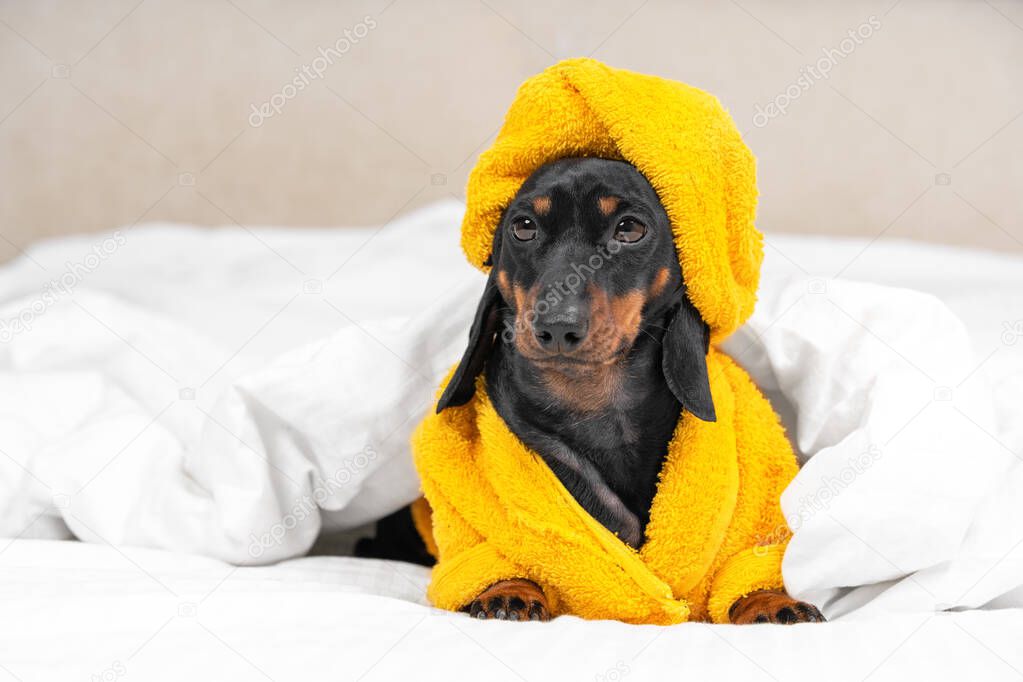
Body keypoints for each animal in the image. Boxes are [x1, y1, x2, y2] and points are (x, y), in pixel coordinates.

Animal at [360, 157, 822, 625]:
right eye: (523, 226)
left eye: (630, 228)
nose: (556, 325)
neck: (595, 403)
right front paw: (508, 591)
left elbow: (747, 564)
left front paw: (771, 601)